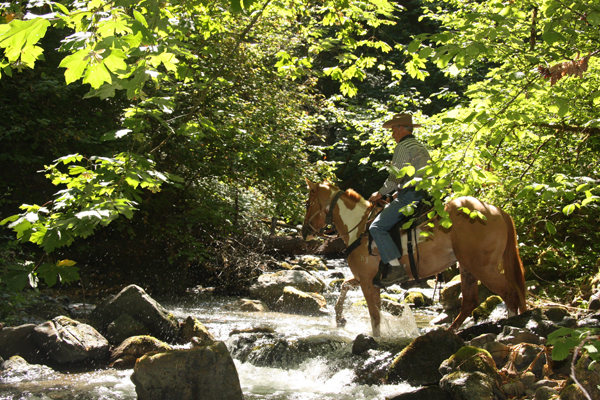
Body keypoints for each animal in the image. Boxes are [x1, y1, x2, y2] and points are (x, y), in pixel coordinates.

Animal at [300, 180, 524, 336]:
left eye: (308, 203)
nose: (304, 233)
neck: (360, 228)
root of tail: (497, 211)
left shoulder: (367, 281)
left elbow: (374, 316)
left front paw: (376, 338)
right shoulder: (366, 279)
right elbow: (345, 285)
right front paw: (340, 318)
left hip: (483, 267)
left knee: (510, 293)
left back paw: (510, 327)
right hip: (468, 267)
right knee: (470, 301)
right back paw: (449, 332)